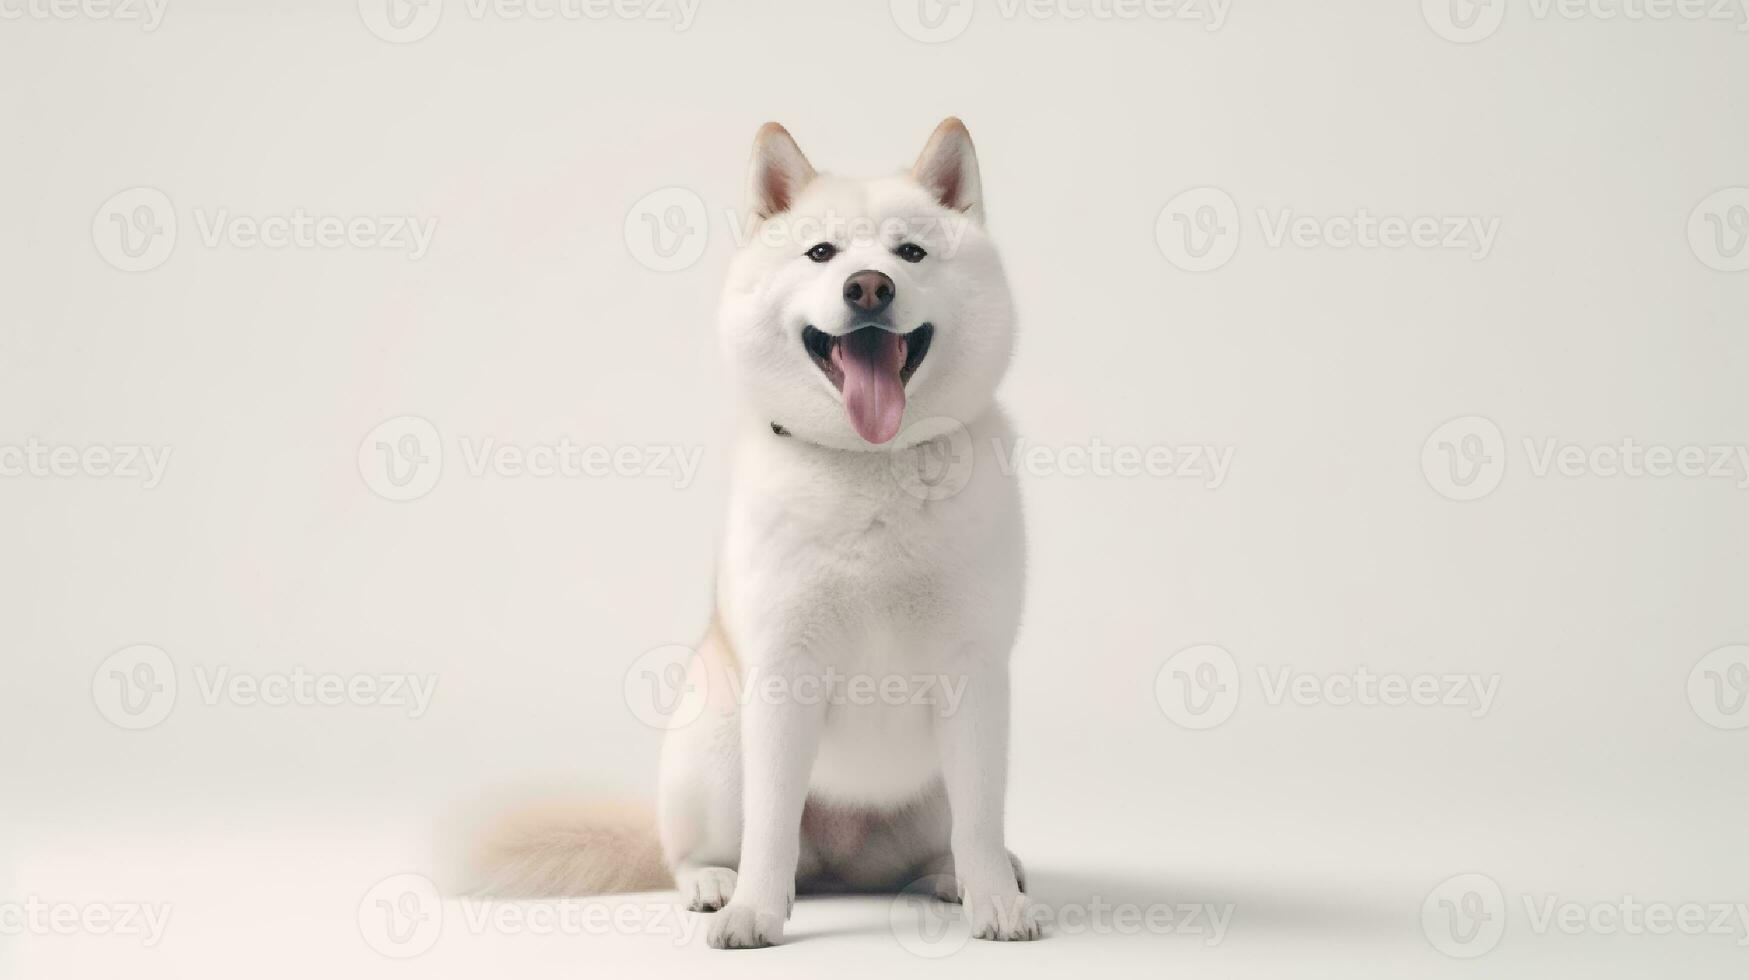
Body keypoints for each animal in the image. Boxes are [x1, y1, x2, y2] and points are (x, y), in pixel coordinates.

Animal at [475, 120, 1035, 952]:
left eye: (909, 253)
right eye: (821, 252)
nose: (869, 287)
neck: (869, 468)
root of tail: (842, 861)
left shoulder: (974, 676)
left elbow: (981, 820)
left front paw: (992, 900)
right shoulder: (782, 675)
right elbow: (769, 825)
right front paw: (754, 914)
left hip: (926, 791)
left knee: (944, 838)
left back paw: (950, 877)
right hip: (714, 748)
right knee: (698, 850)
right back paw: (715, 882)